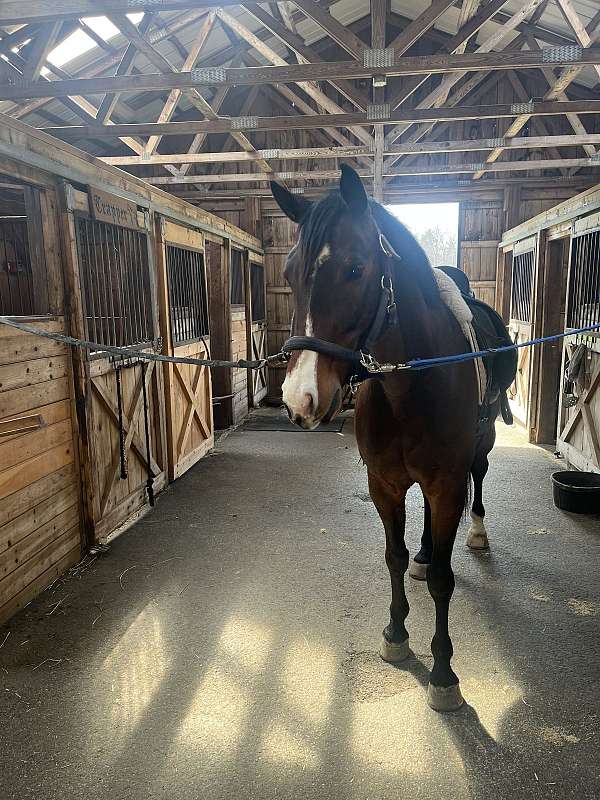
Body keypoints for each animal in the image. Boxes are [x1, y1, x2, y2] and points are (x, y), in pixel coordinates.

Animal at [272, 165, 501, 711]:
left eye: (356, 269)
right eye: (288, 274)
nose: (299, 399)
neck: (410, 385)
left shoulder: (447, 485)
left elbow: (443, 580)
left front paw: (443, 672)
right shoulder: (385, 484)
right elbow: (393, 557)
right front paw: (396, 633)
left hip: (479, 449)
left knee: (480, 479)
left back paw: (477, 532)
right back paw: (424, 552)